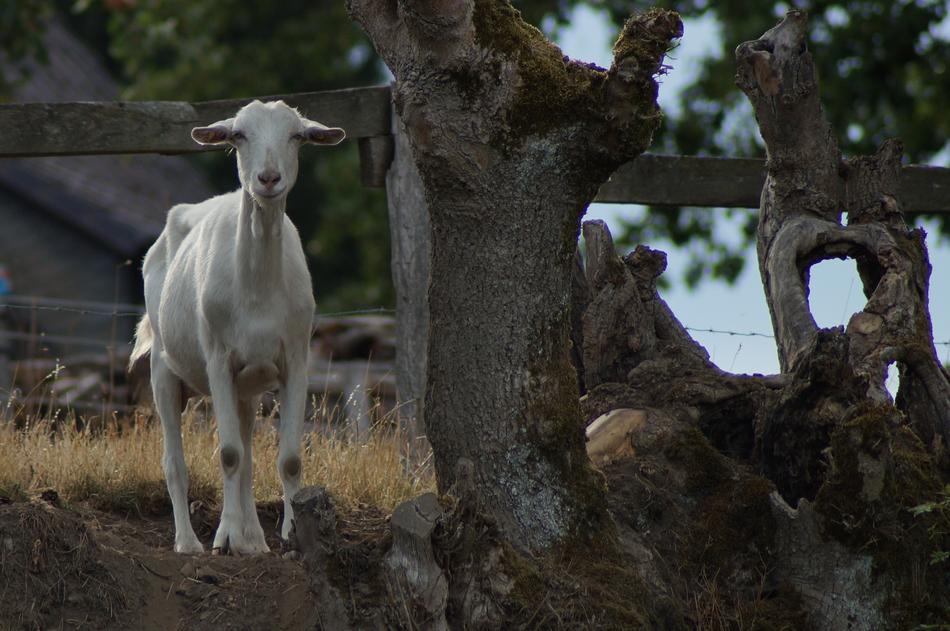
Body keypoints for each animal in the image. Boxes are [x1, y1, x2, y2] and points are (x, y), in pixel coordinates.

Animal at [130, 100, 344, 554]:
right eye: (239, 135)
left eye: (297, 136)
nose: (268, 178)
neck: (258, 292)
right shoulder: (218, 357)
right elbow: (228, 453)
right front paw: (222, 540)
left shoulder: (295, 357)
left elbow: (287, 459)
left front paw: (289, 535)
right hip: (163, 367)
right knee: (175, 460)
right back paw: (191, 542)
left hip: (247, 385)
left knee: (246, 451)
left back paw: (251, 539)